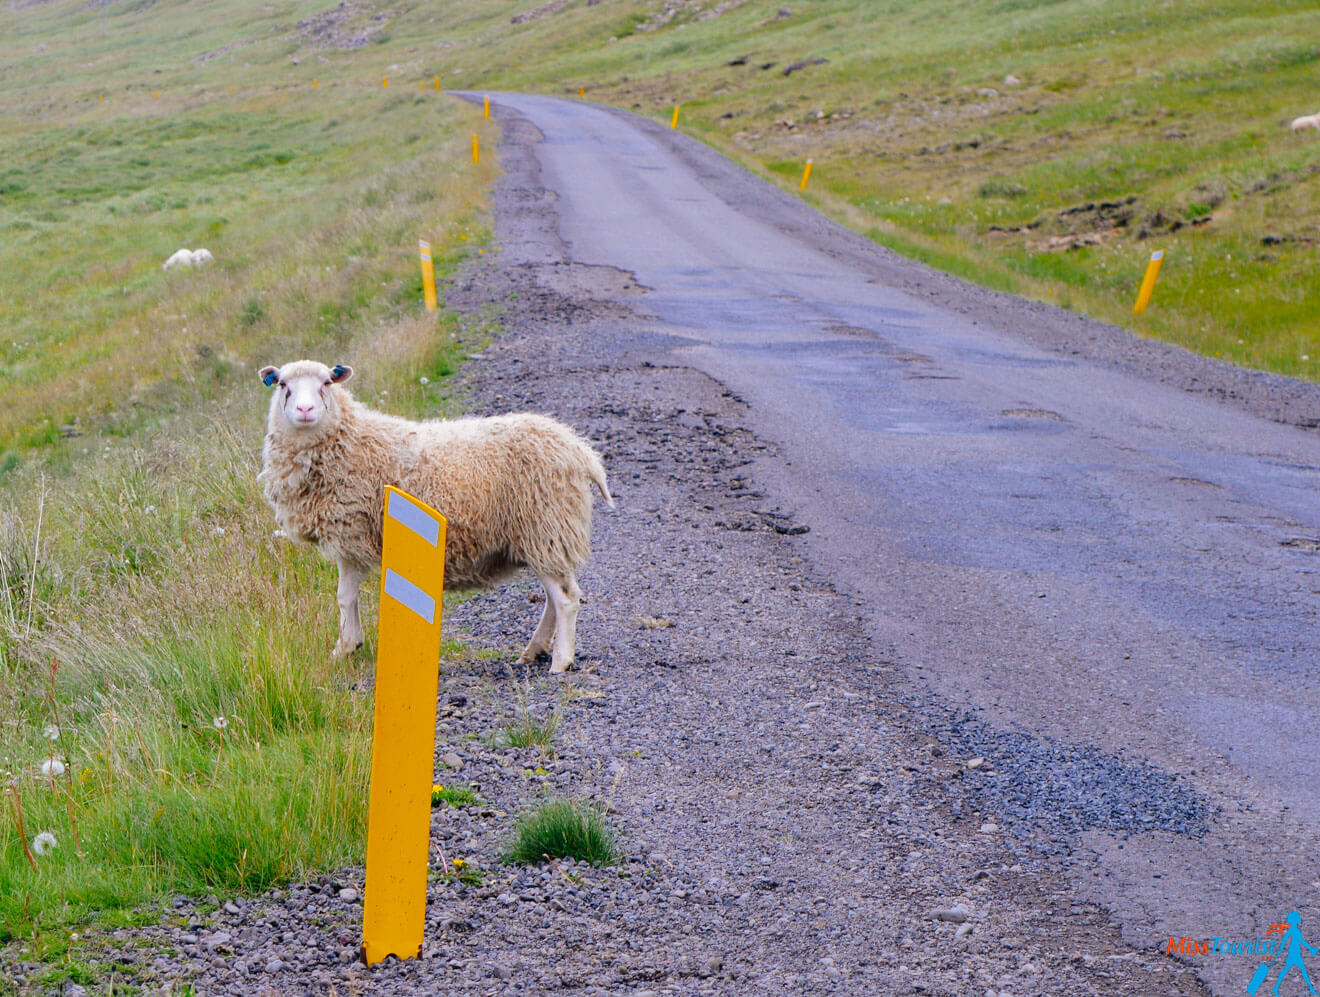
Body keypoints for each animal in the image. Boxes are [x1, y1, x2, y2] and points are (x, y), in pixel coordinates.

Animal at [254, 361, 615, 673]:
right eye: (283, 385)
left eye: (326, 383)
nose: (305, 411)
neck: (349, 440)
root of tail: (580, 450)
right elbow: (346, 597)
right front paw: (349, 645)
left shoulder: (350, 532)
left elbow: (344, 597)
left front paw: (344, 647)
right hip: (545, 536)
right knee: (557, 598)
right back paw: (534, 650)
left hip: (545, 526)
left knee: (566, 599)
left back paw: (561, 661)